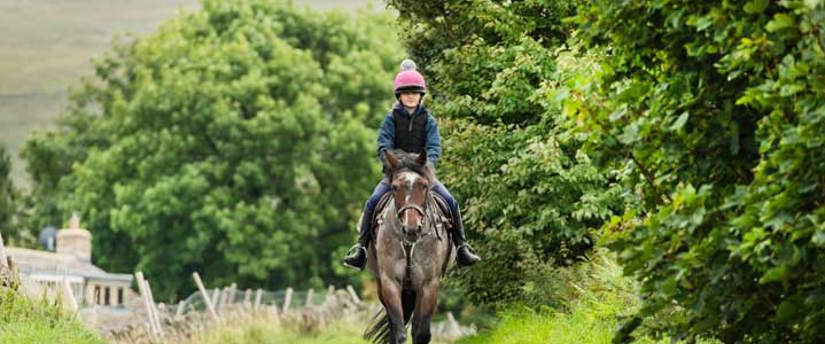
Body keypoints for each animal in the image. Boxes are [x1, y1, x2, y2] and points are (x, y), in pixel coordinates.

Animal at [366, 149, 454, 342]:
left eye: (424, 186)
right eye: (394, 187)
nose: (411, 229)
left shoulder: (428, 285)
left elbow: (421, 333)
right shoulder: (390, 282)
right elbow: (398, 332)